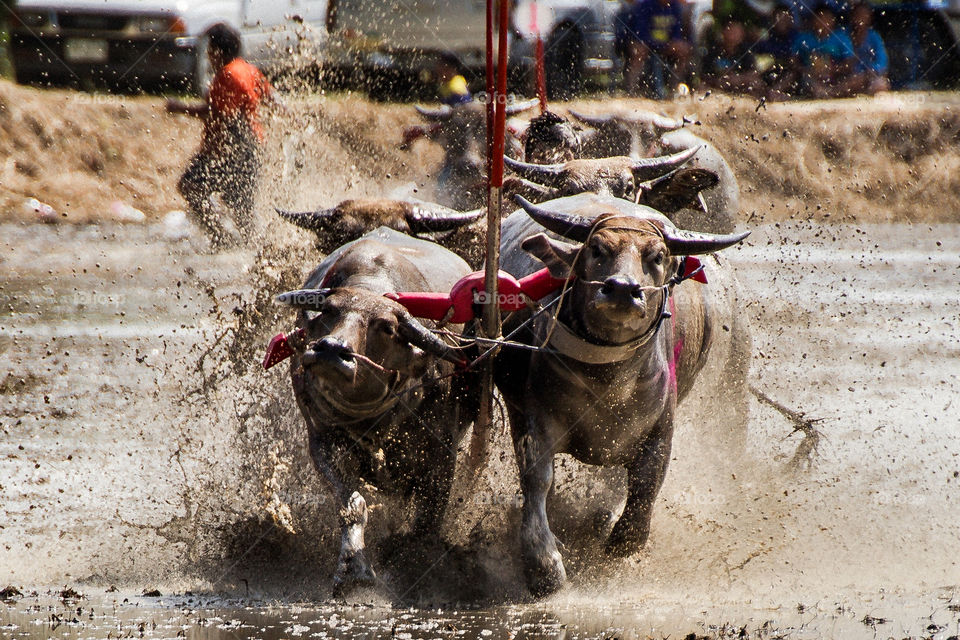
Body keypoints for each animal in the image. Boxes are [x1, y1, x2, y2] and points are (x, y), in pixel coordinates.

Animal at [274, 229, 480, 596]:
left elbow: (428, 520)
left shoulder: (442, 452)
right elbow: (352, 506)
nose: (331, 349)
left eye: (385, 327)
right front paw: (353, 568)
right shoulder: (323, 440)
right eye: (329, 311)